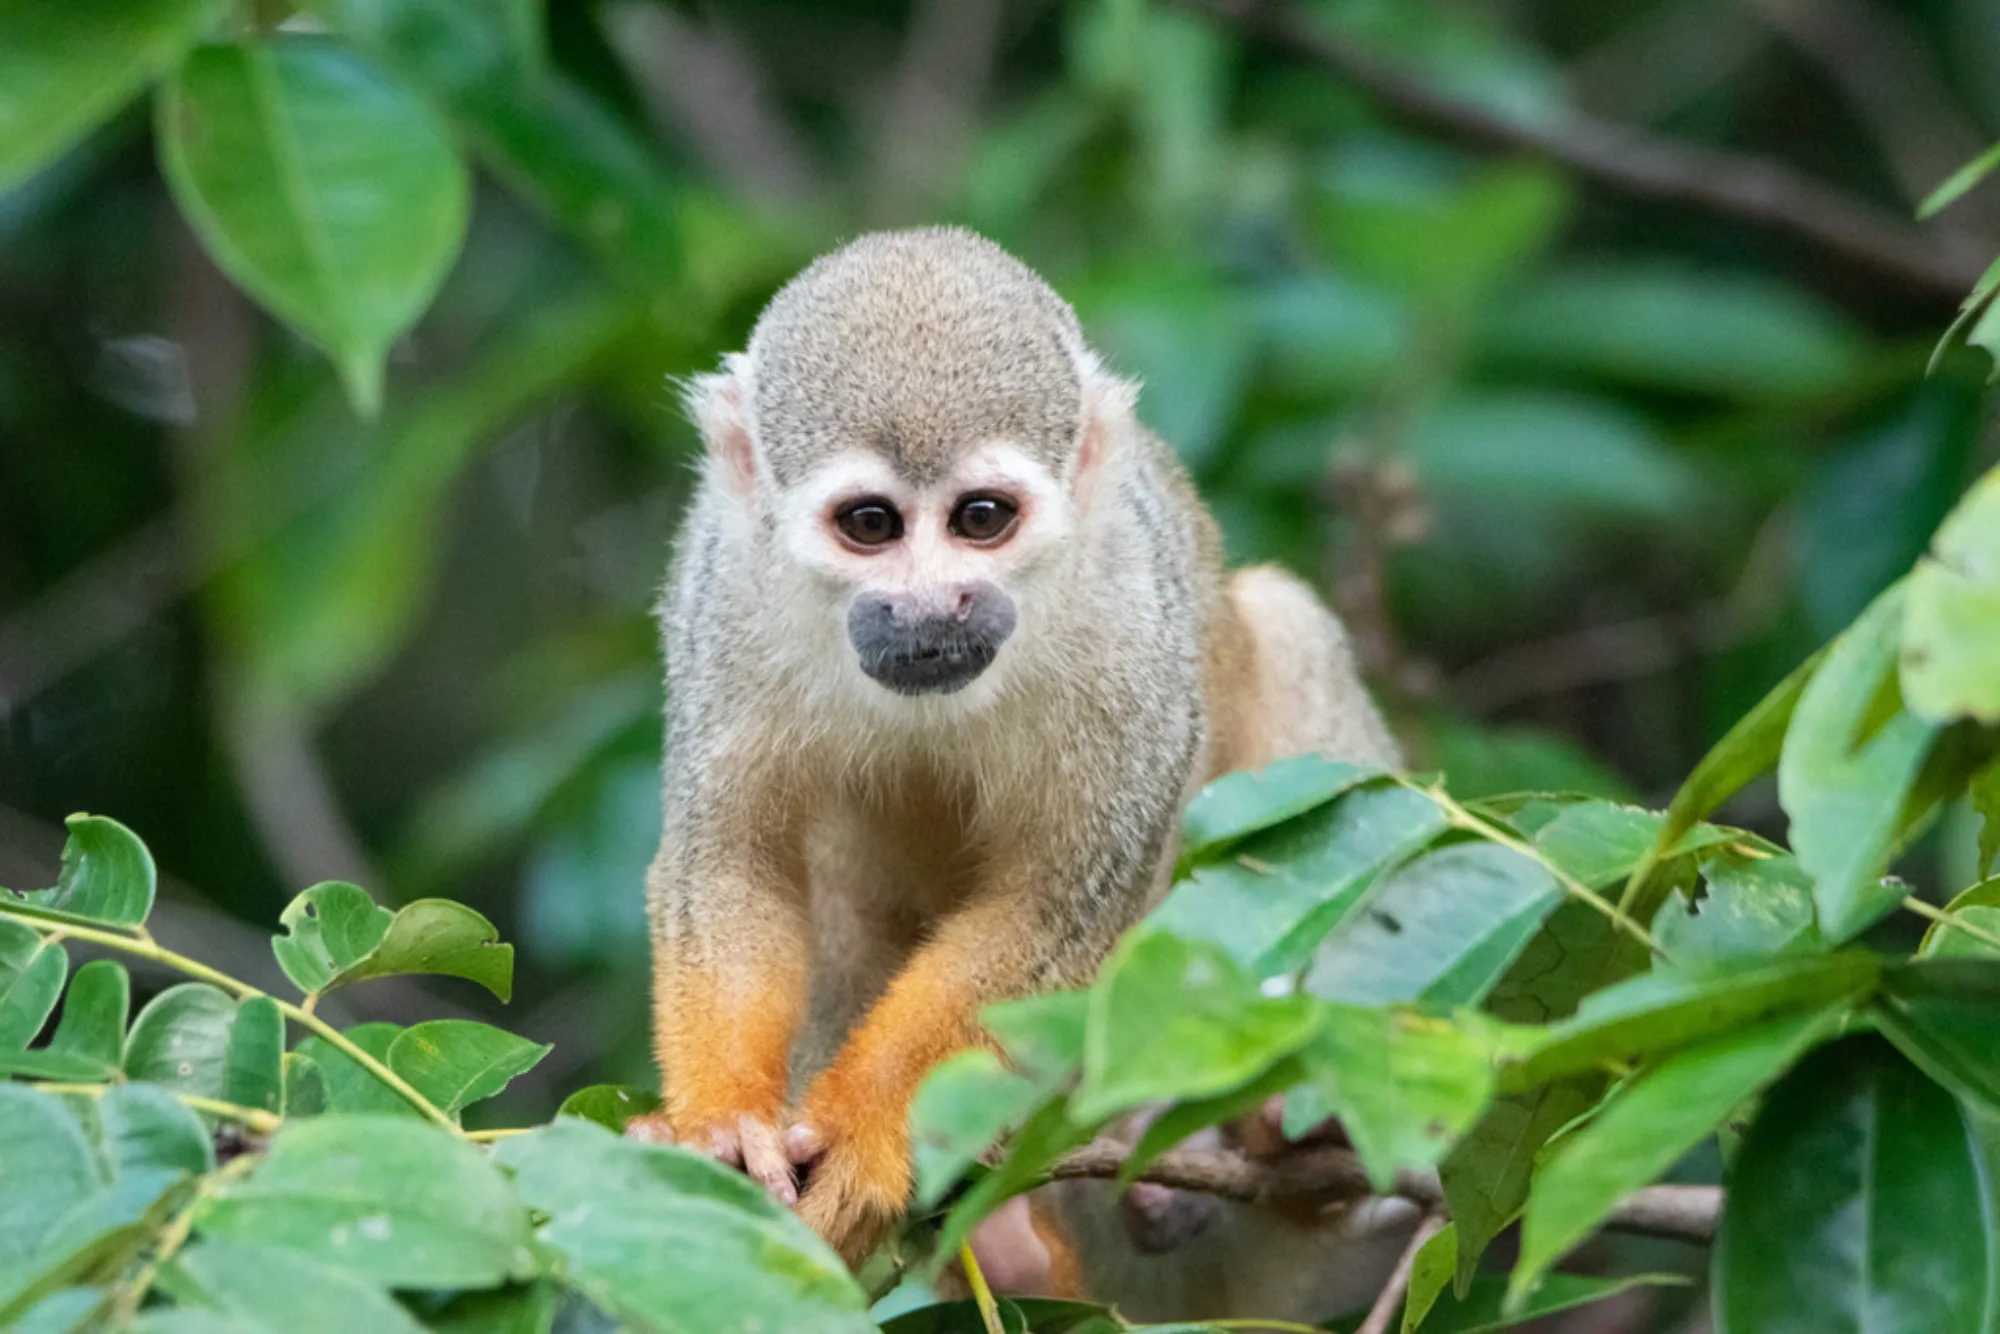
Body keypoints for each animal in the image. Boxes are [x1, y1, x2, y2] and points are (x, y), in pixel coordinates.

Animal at [623, 227, 1403, 1306]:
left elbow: (1061, 901)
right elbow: (729, 862)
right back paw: (1013, 1250)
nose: (931, 606)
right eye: (870, 525)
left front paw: (868, 1129)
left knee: (1282, 626)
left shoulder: (1128, 618)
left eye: (980, 517)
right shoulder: (722, 586)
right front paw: (722, 1124)